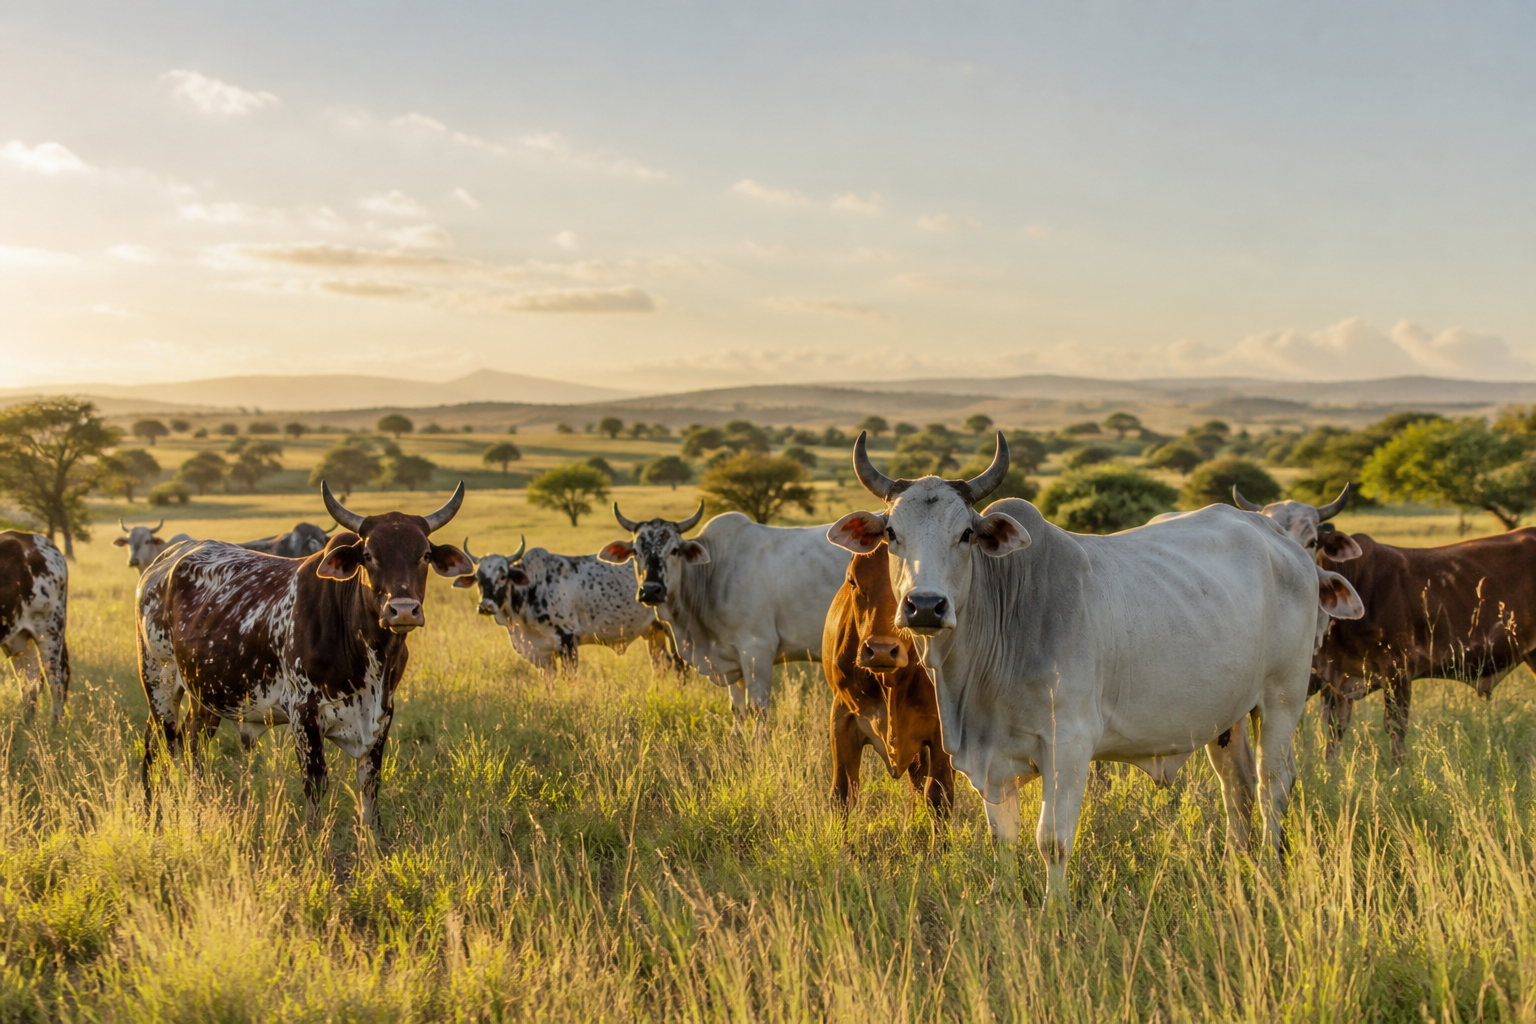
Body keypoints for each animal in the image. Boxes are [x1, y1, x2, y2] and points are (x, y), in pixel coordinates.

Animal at [0, 531, 70, 723]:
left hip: (51, 630)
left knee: (55, 680)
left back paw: (55, 726)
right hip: (18, 638)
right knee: (30, 684)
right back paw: (26, 725)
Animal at [134, 482, 473, 826]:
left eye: (425, 555)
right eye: (368, 556)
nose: (403, 610)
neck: (370, 657)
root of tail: (167, 558)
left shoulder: (383, 714)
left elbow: (370, 784)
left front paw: (372, 837)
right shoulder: (304, 714)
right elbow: (315, 782)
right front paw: (314, 836)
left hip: (205, 693)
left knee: (194, 745)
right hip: (159, 682)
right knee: (158, 744)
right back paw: (151, 813)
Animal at [455, 535, 684, 676]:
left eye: (503, 576)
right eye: (478, 578)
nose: (485, 606)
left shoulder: (568, 641)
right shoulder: (543, 654)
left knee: (680, 665)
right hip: (653, 632)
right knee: (661, 665)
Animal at [599, 501, 850, 725]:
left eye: (674, 550)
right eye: (636, 552)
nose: (651, 590)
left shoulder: (757, 650)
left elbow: (758, 709)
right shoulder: (732, 657)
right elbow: (737, 710)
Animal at [1240, 486, 1536, 762]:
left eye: (1312, 541)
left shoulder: (1398, 667)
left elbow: (1396, 729)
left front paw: (1399, 776)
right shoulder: (1336, 679)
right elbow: (1334, 732)